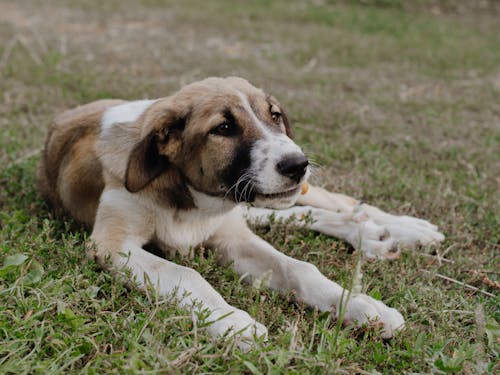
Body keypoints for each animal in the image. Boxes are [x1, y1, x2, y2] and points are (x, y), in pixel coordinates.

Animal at [39, 77, 446, 350]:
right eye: (223, 128)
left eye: (275, 116)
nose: (297, 164)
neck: (191, 199)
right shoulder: (112, 244)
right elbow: (186, 274)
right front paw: (232, 321)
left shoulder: (233, 238)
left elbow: (299, 268)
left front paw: (363, 307)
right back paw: (371, 235)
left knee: (340, 202)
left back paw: (405, 229)